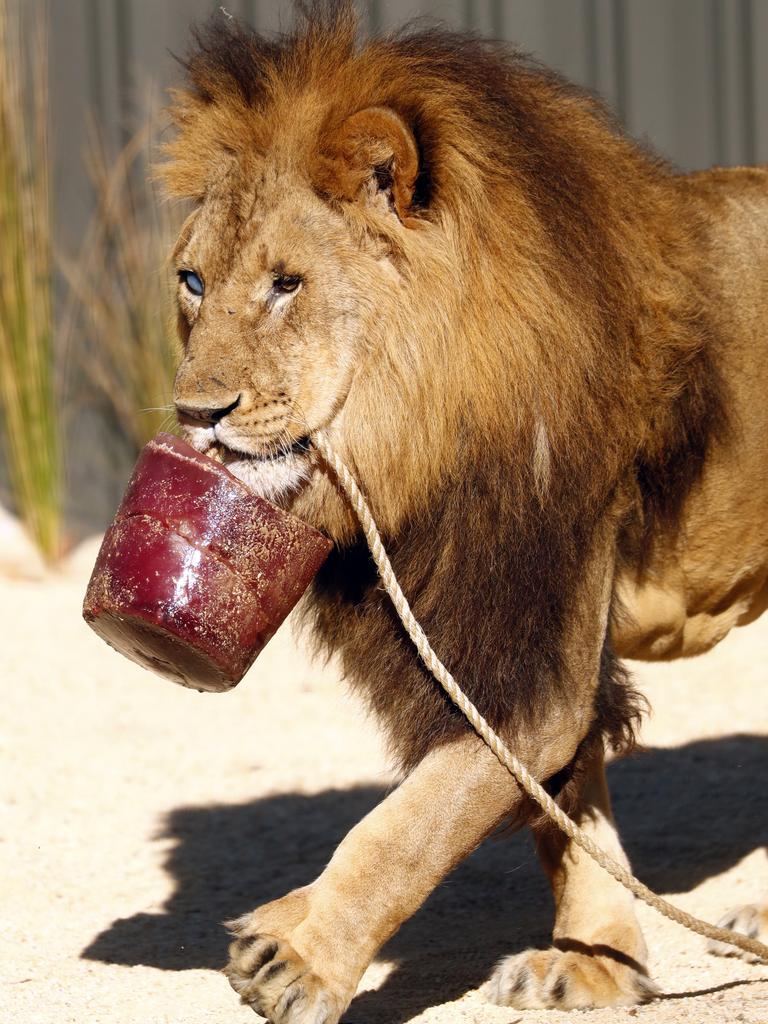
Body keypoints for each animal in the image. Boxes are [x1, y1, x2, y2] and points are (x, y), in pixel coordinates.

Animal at [157, 4, 768, 1015]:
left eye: (287, 283)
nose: (195, 413)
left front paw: (300, 954)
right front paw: (598, 963)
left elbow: (412, 823)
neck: (421, 435)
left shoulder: (537, 624)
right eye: (194, 282)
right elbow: (566, 814)